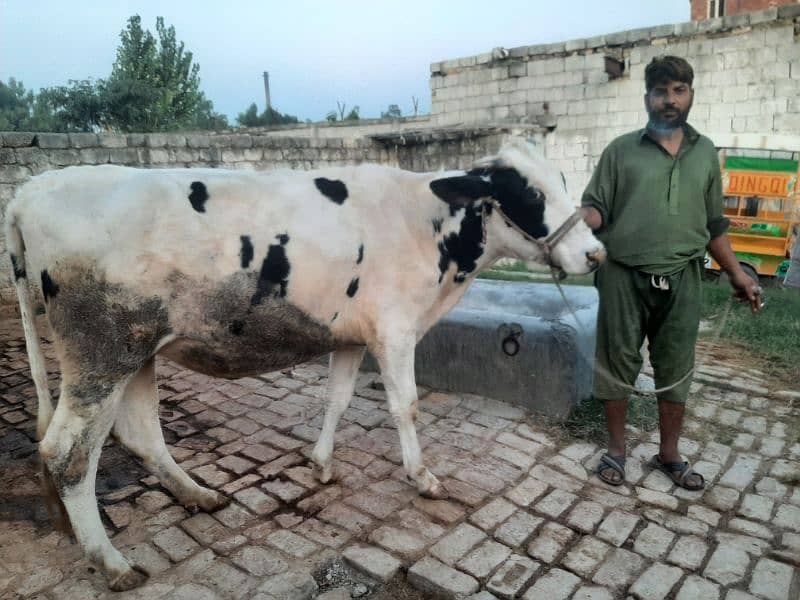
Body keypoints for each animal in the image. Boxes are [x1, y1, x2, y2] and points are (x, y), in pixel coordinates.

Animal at [4, 137, 608, 592]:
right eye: (527, 192)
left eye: (561, 179)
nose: (595, 253)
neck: (427, 224)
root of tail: (33, 190)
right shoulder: (395, 329)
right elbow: (406, 406)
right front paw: (423, 477)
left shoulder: (353, 334)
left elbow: (338, 398)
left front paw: (320, 463)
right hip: (100, 353)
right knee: (68, 453)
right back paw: (112, 562)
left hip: (139, 350)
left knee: (140, 432)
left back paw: (198, 495)